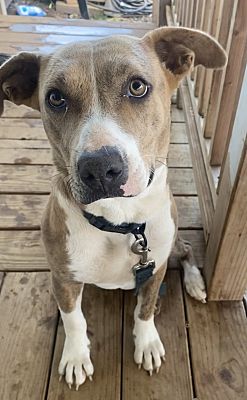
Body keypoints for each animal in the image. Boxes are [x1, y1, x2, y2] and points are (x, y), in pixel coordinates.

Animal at [0, 28, 227, 390]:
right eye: (55, 98)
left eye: (137, 87)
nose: (99, 168)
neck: (120, 221)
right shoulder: (63, 277)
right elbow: (74, 319)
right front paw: (76, 356)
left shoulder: (156, 268)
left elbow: (144, 311)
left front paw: (147, 343)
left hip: (173, 242)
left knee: (188, 249)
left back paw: (195, 283)